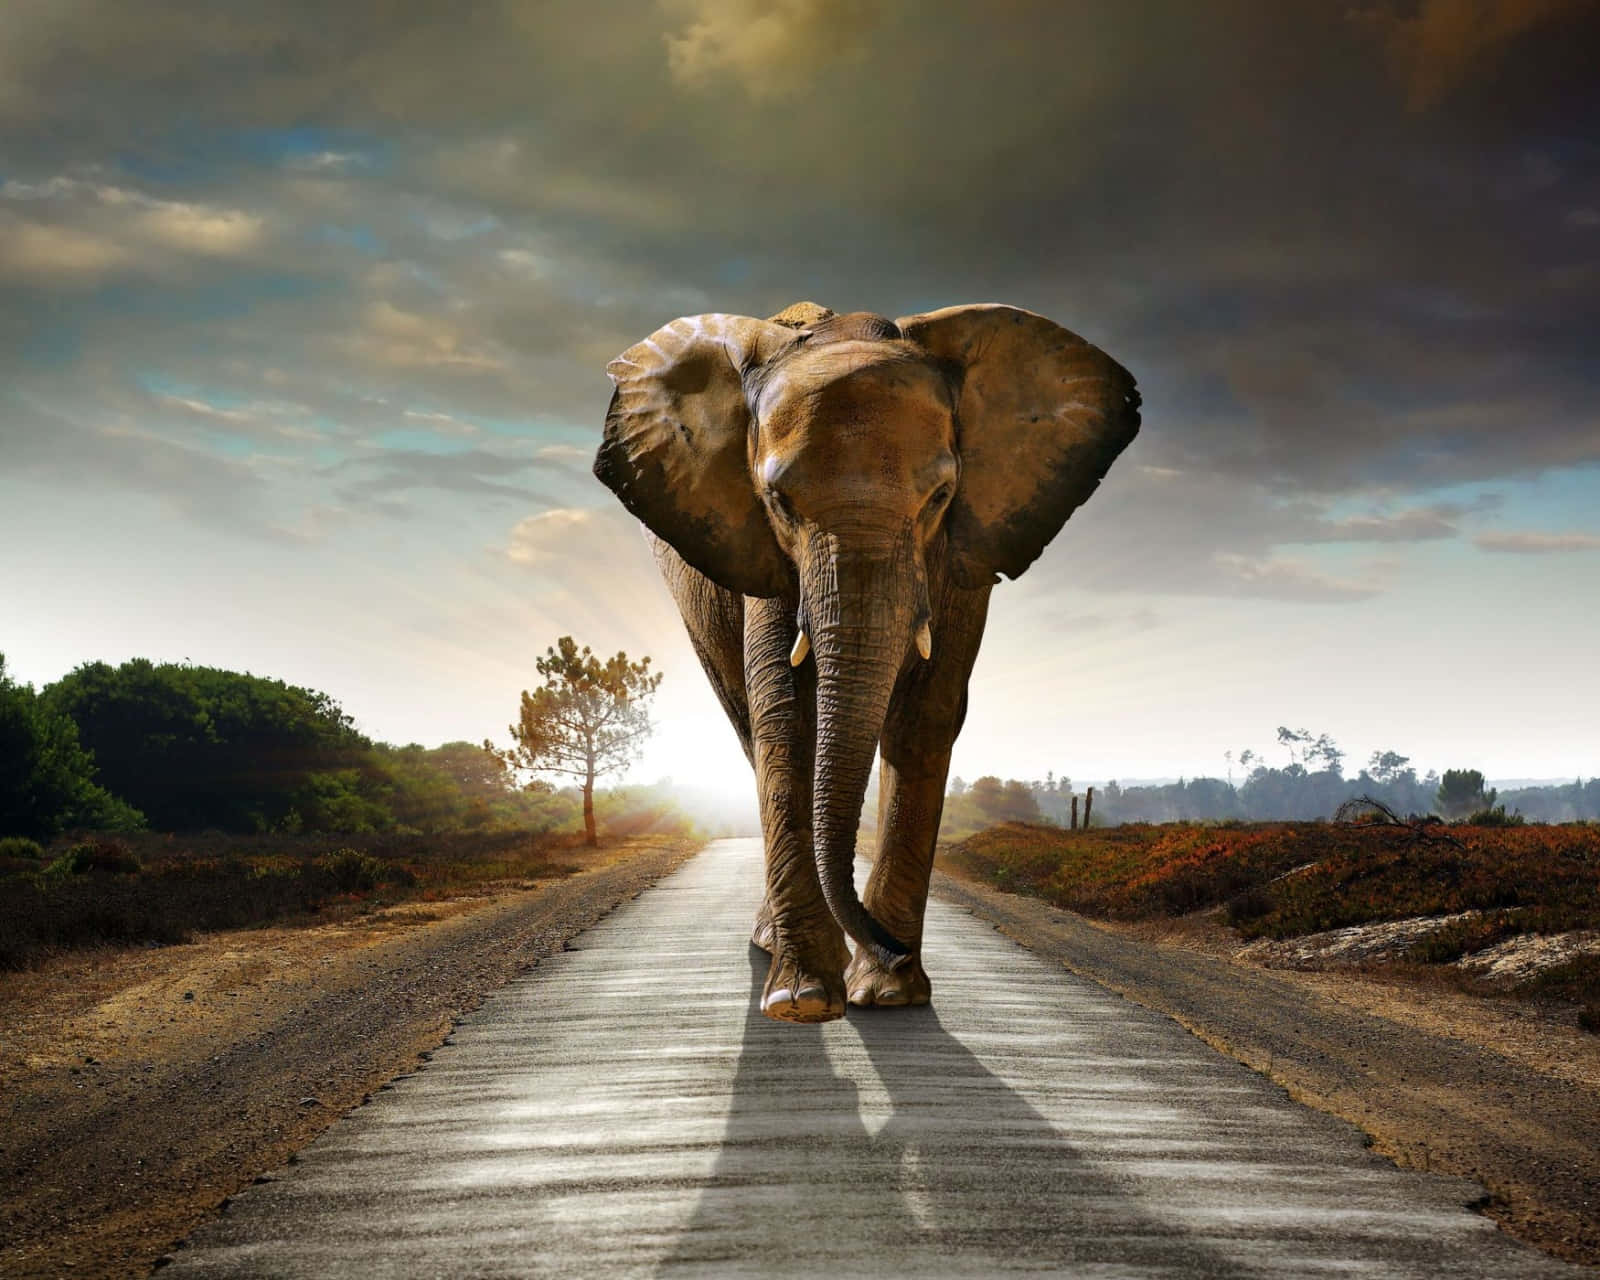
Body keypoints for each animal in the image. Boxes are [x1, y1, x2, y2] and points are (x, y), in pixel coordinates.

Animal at [594, 300, 1139, 1023]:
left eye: (940, 497)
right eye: (779, 502)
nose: (891, 948)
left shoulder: (963, 552)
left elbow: (926, 715)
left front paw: (888, 994)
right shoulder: (764, 554)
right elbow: (786, 715)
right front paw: (803, 1001)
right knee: (747, 724)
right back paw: (774, 947)